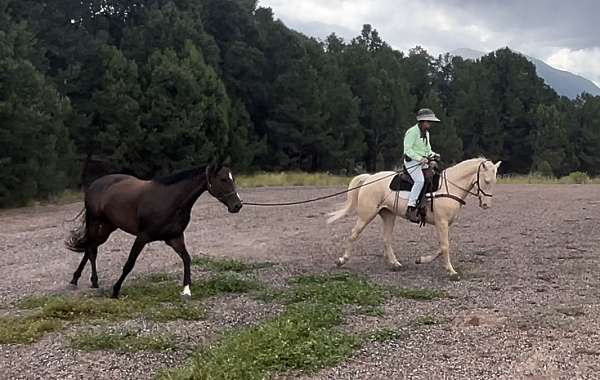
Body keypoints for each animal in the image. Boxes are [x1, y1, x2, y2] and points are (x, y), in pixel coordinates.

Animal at [66, 162, 241, 298]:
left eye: (232, 179)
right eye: (223, 179)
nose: (237, 205)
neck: (170, 200)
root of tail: (95, 183)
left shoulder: (175, 238)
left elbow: (187, 259)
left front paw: (186, 291)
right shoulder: (143, 237)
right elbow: (129, 264)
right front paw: (115, 291)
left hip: (108, 227)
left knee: (90, 247)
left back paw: (86, 280)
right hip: (94, 222)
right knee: (91, 249)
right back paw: (79, 281)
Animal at [328, 157, 502, 276]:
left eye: (494, 181)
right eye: (486, 181)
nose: (486, 205)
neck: (450, 187)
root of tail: (370, 178)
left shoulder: (443, 224)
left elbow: (441, 247)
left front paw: (421, 260)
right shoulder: (442, 222)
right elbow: (445, 246)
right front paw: (451, 271)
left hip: (388, 215)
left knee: (386, 239)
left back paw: (395, 263)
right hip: (367, 214)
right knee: (353, 234)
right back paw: (342, 260)